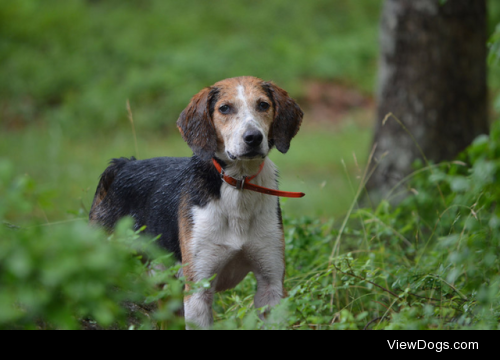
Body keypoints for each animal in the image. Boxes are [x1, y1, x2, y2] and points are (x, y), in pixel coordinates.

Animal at [90, 76, 304, 330]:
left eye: (263, 105)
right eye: (224, 108)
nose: (253, 137)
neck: (238, 185)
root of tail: (123, 164)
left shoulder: (271, 286)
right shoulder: (198, 289)